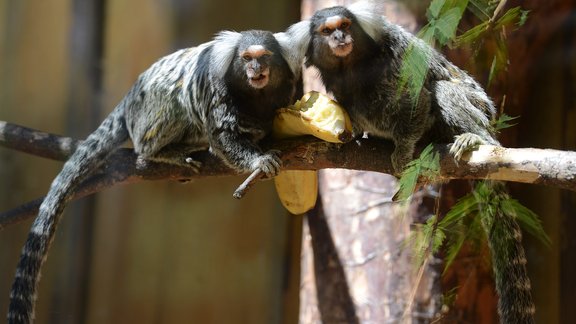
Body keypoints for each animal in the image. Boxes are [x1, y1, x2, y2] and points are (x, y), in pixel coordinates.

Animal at [7, 29, 306, 322]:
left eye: (264, 57)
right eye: (246, 58)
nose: (256, 69)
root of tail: (129, 99)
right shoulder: (217, 89)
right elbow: (223, 134)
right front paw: (258, 160)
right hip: (148, 114)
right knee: (171, 105)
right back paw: (161, 151)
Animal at [286, 2, 532, 324]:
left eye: (345, 26)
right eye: (327, 31)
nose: (340, 38)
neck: (353, 66)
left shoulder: (396, 61)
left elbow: (417, 97)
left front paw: (402, 149)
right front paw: (356, 134)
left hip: (482, 112)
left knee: (445, 92)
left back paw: (476, 140)